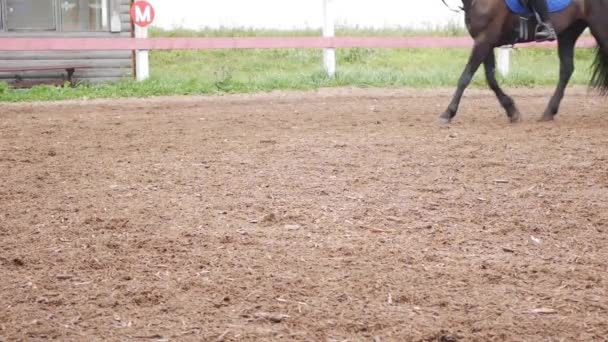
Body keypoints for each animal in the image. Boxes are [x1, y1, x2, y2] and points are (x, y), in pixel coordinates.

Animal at [442, 0, 608, 122]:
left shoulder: (484, 40)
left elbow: (465, 77)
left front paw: (448, 113)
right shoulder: (485, 42)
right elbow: (491, 79)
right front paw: (511, 110)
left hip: (598, 26)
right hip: (569, 32)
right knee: (566, 69)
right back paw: (549, 112)